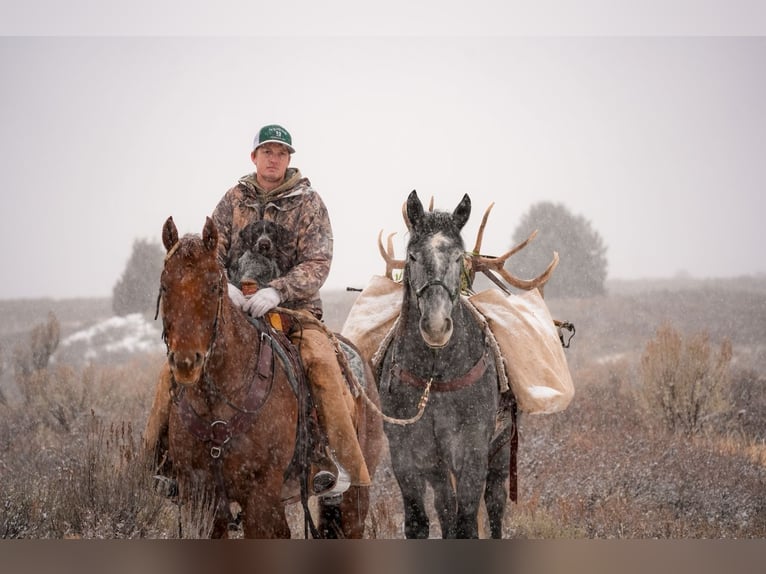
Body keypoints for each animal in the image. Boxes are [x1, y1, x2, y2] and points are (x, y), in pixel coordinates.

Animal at [153, 215, 382, 538]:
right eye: (165, 285)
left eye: (213, 286)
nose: (186, 363)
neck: (218, 404)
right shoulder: (200, 496)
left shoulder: (261, 497)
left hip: (355, 496)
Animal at [377, 190, 514, 538]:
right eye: (412, 256)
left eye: (458, 257)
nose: (436, 326)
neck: (435, 377)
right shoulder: (407, 451)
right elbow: (420, 521)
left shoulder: (473, 449)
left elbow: (467, 522)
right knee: (444, 505)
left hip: (502, 446)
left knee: (495, 504)